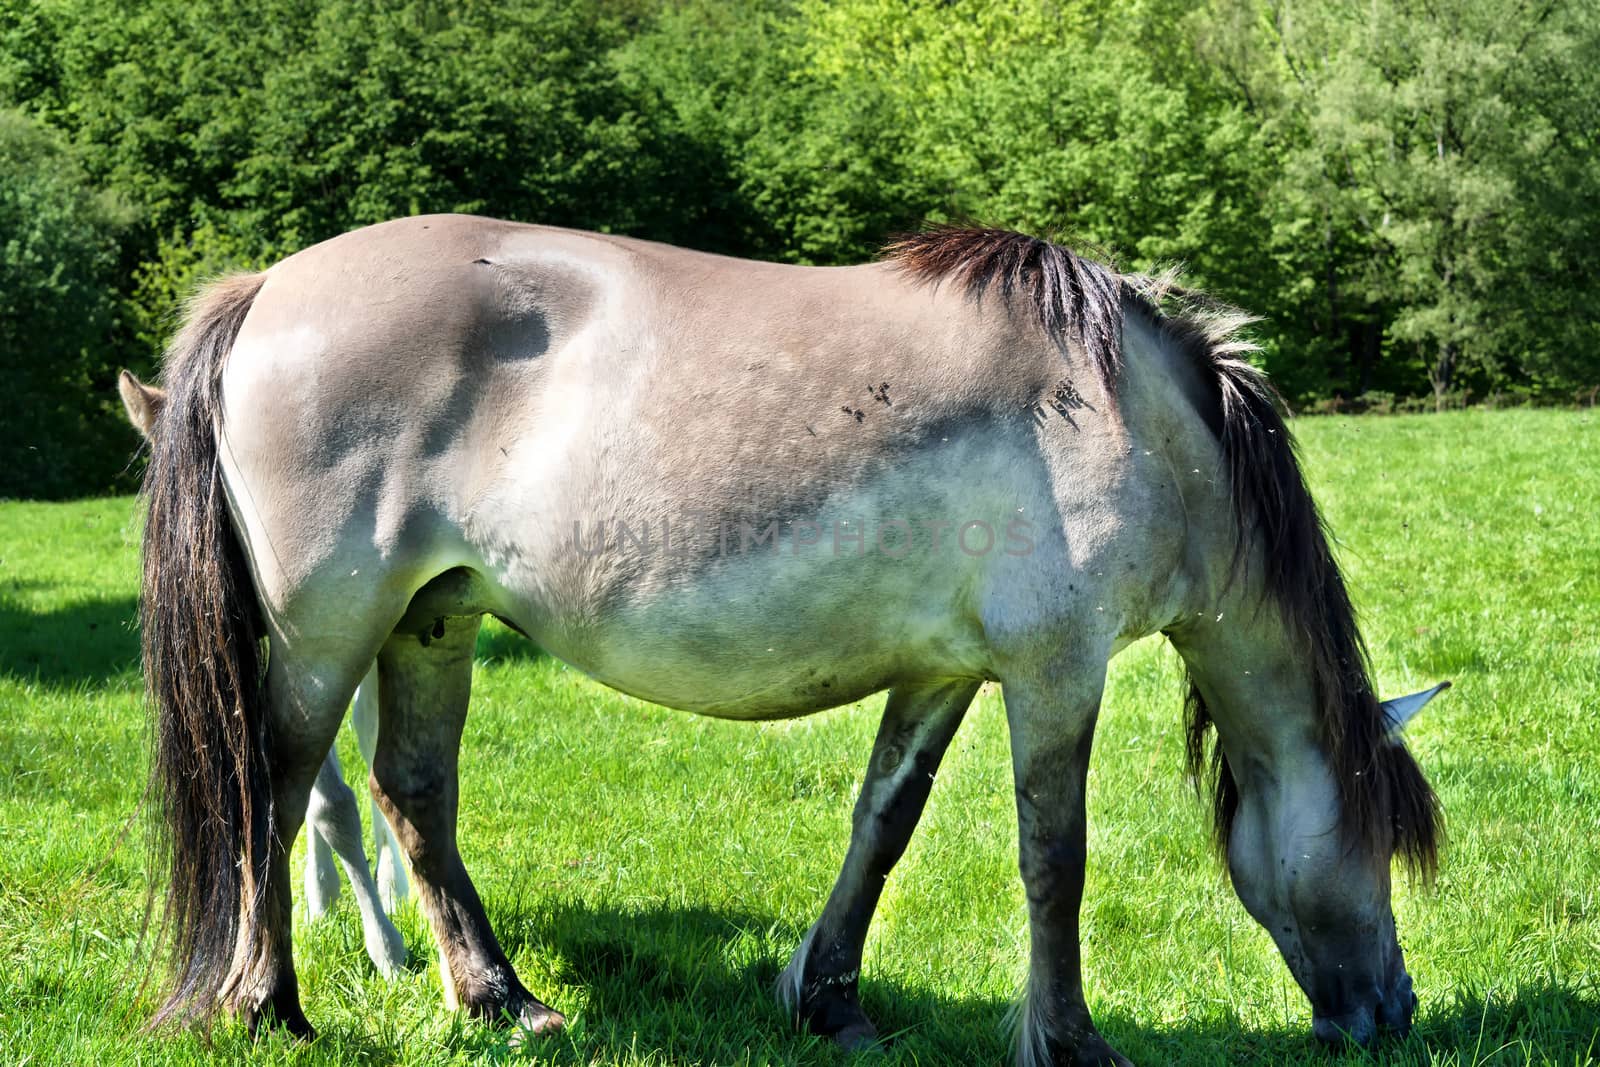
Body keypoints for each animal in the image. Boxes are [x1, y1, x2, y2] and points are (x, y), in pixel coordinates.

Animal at [137, 212, 1446, 1062]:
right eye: (1379, 839)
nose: (1394, 1010)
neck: (1130, 414)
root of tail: (266, 289)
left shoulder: (939, 673)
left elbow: (883, 824)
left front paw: (830, 999)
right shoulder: (1054, 671)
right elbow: (1054, 859)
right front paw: (1069, 1039)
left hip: (431, 619)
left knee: (412, 794)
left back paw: (500, 998)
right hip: (328, 630)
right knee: (274, 788)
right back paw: (266, 1005)